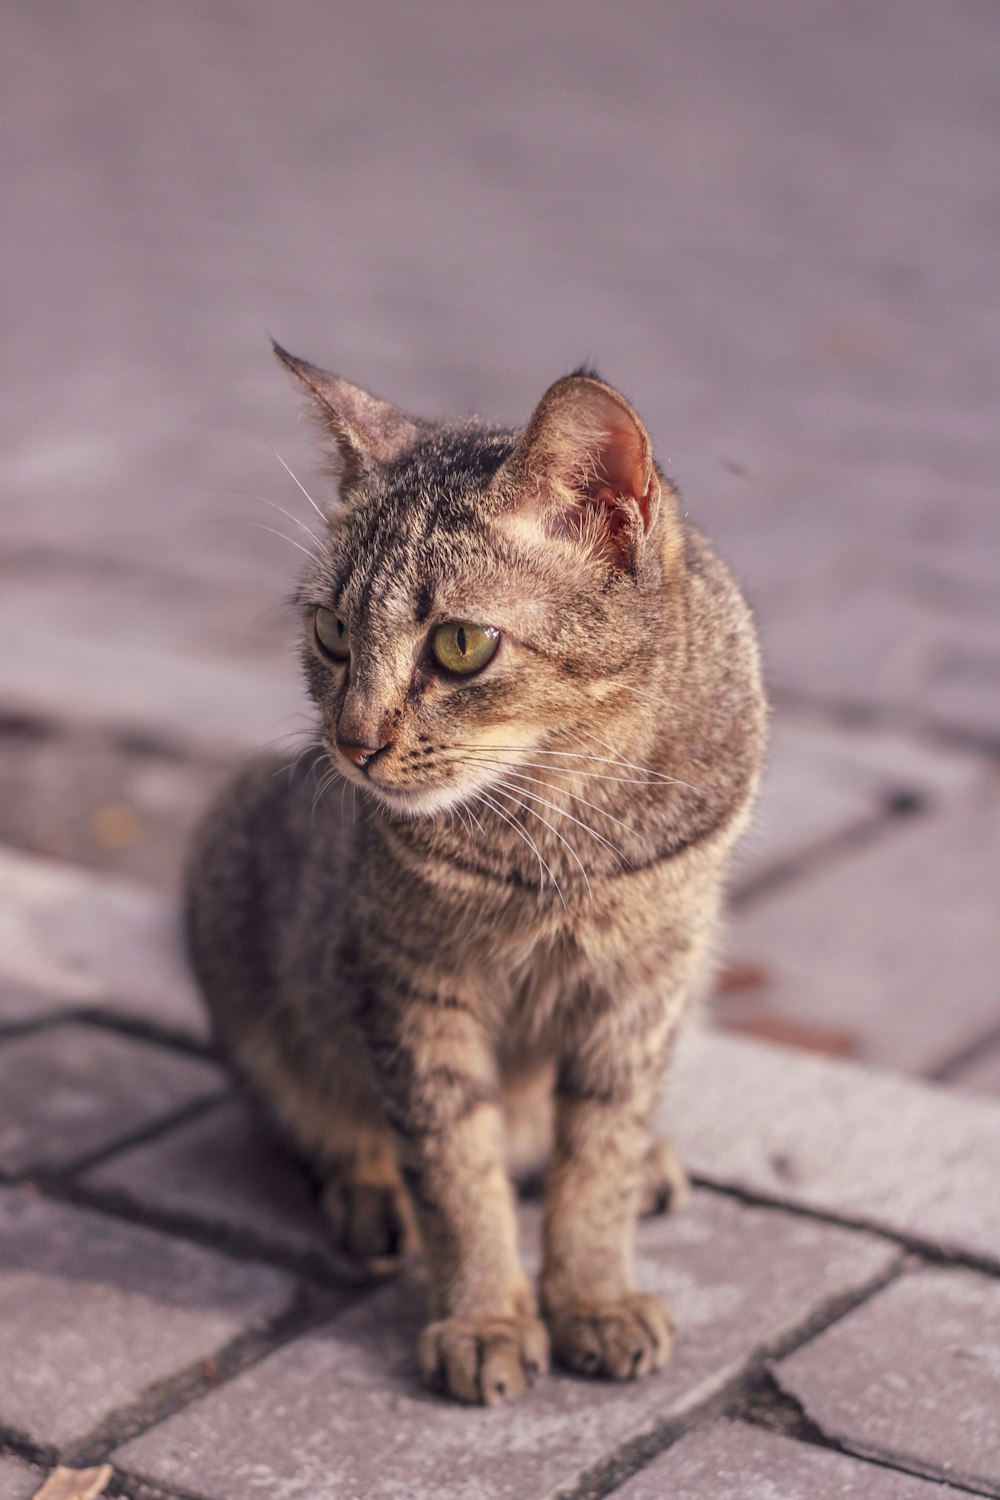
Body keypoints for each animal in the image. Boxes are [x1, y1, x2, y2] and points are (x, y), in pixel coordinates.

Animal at [185, 343, 767, 1404]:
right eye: (332, 632)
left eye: (461, 644)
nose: (353, 744)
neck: (561, 839)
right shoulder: (409, 984)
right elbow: (454, 1165)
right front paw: (488, 1315)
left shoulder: (648, 982)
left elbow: (598, 1158)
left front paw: (593, 1296)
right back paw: (371, 1191)